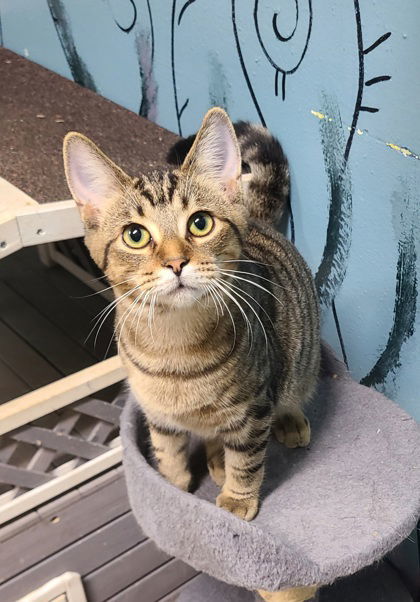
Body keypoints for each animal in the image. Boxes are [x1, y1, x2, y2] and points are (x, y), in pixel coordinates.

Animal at [62, 105, 320, 516]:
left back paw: (289, 421)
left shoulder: (254, 409)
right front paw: (170, 490)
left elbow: (247, 459)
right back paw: (216, 459)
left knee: (294, 390)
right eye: (135, 235)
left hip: (300, 362)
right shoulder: (158, 417)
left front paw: (236, 500)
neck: (174, 345)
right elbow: (168, 454)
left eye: (200, 223)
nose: (176, 262)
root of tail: (256, 218)